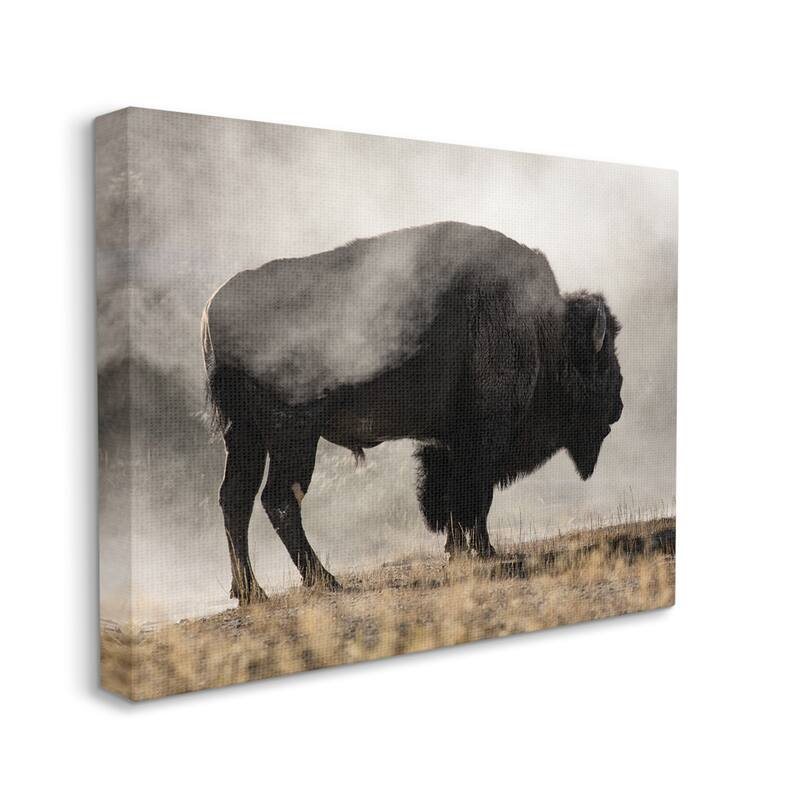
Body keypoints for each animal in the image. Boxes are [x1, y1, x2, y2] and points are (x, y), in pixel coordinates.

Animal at [202, 221, 623, 603]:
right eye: (600, 361)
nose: (618, 406)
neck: (540, 325)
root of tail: (212, 313)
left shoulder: (450, 441)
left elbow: (455, 496)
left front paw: (461, 551)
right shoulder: (484, 434)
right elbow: (475, 494)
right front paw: (481, 551)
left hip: (244, 435)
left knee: (235, 499)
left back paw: (251, 592)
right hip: (292, 436)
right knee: (278, 499)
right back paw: (324, 580)